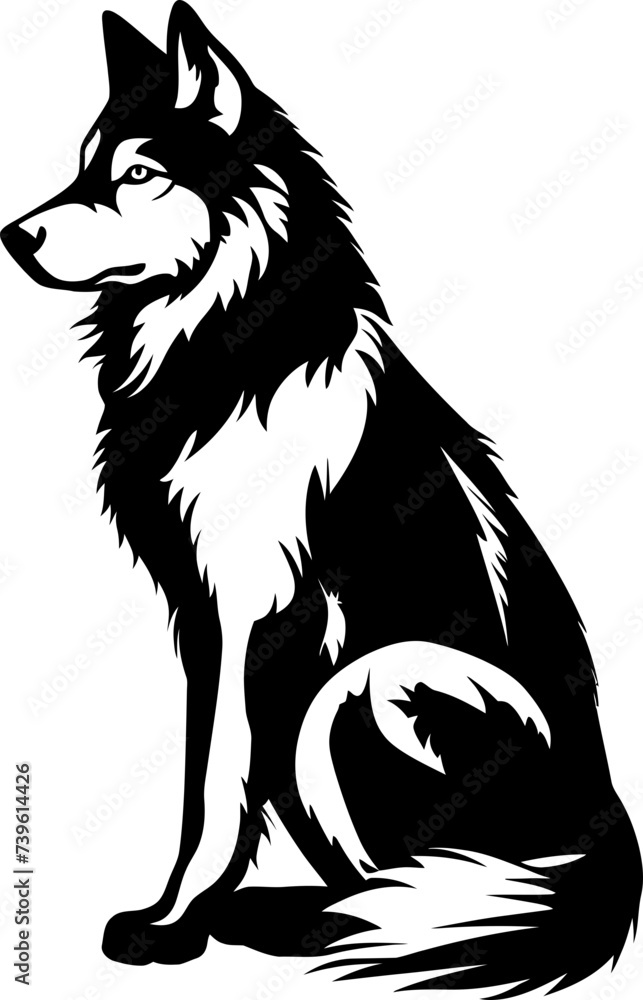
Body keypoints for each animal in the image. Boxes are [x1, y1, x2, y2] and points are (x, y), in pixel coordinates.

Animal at [3, 2, 641, 994]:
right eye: (83, 164)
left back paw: (321, 923)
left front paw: (174, 924)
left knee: (438, 881)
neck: (227, 340)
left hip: (375, 684)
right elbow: (208, 774)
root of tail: (610, 841)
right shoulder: (201, 621)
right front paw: (187, 912)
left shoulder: (258, 618)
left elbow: (216, 787)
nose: (12, 236)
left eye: (139, 173)